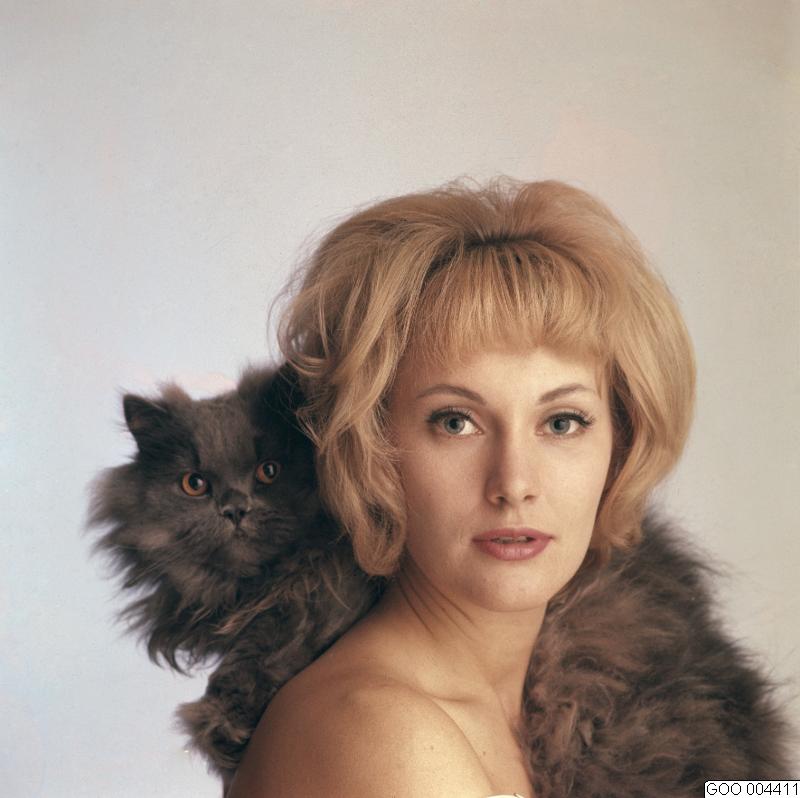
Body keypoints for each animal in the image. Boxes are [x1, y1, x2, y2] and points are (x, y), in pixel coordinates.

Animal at [89, 364, 382, 786]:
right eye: (194, 484)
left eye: (269, 471)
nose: (235, 509)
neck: (251, 590)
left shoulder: (319, 593)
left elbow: (270, 646)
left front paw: (221, 725)